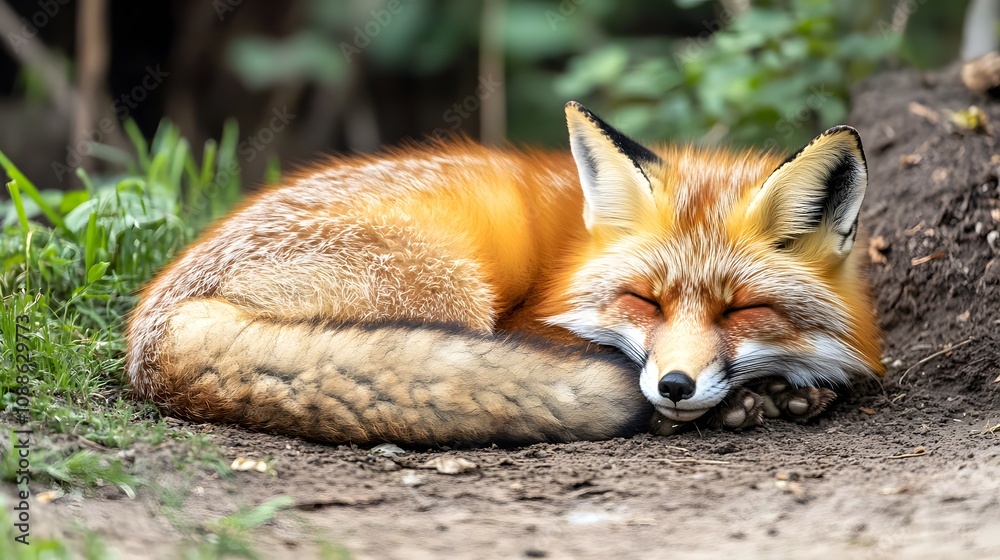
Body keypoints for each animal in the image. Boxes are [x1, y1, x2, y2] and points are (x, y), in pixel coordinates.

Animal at [125, 101, 884, 446]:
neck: (572, 258)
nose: (674, 385)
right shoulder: (531, 322)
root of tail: (153, 330)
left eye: (740, 310)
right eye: (643, 300)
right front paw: (749, 401)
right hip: (454, 290)